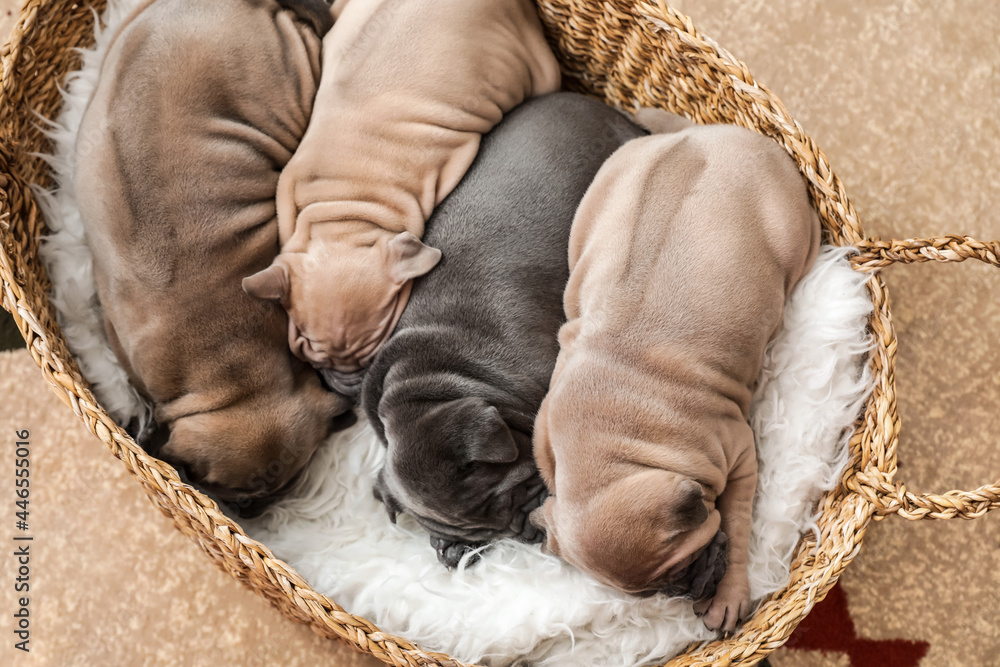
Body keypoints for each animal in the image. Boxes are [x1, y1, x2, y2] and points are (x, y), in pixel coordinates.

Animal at [532, 121, 820, 632]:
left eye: (685, 563)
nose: (685, 589)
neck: (615, 453)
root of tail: (705, 134)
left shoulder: (739, 456)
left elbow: (737, 526)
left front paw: (728, 594)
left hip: (795, 238)